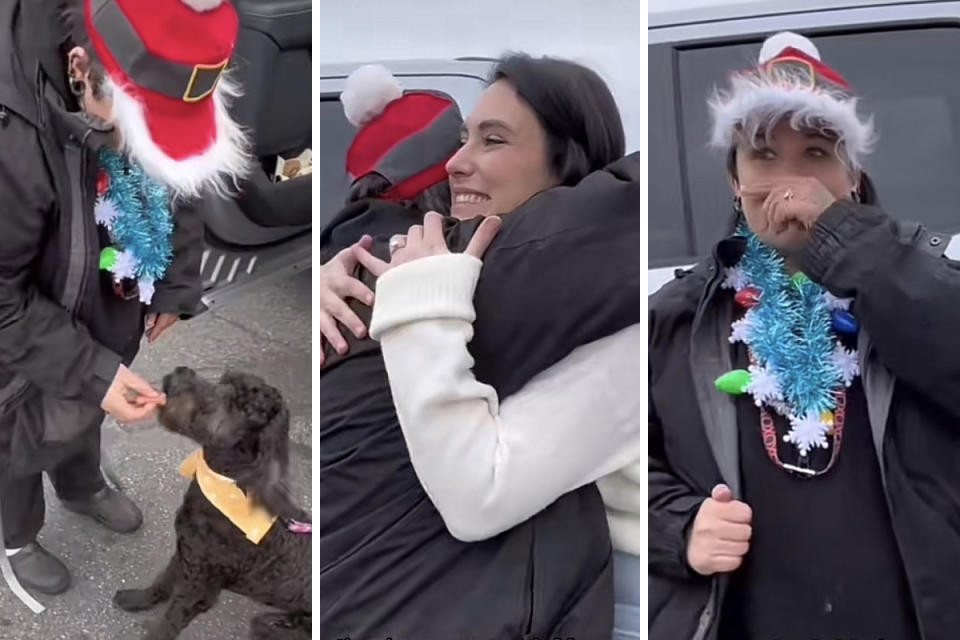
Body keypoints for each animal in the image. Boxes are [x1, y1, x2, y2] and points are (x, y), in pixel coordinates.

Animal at [113, 368, 312, 636]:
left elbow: (168, 624)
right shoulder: (186, 552)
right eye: (225, 379)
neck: (225, 488)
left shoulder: (200, 586)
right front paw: (139, 598)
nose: (182, 372)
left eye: (245, 408)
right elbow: (163, 582)